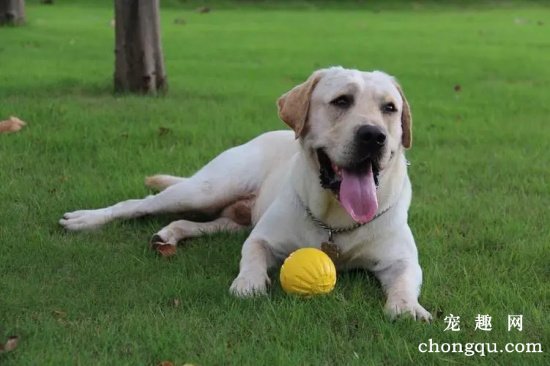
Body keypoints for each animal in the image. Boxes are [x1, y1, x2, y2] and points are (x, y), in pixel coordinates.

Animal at [59, 67, 432, 322]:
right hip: (206, 189)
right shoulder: (261, 239)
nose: (373, 136)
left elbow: (405, 279)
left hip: (231, 216)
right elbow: (251, 256)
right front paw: (249, 284)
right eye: (342, 101)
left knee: (192, 223)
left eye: (389, 108)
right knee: (138, 204)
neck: (334, 220)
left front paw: (407, 308)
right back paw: (87, 219)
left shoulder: (402, 259)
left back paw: (168, 235)